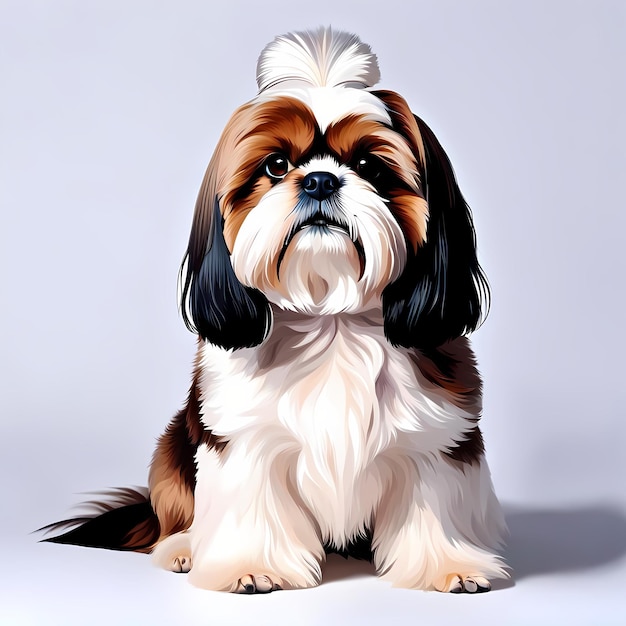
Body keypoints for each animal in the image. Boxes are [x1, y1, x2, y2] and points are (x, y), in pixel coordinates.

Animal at [45, 26, 512, 592]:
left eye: (367, 166)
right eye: (277, 165)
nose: (319, 180)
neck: (332, 320)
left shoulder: (438, 439)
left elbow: (432, 503)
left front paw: (449, 564)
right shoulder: (243, 440)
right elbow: (252, 502)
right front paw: (251, 567)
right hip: (175, 445)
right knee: (175, 508)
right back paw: (183, 547)